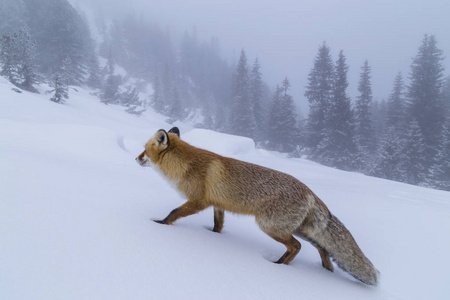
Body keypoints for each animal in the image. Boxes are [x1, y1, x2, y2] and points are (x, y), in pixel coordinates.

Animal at [136, 127, 380, 286]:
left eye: (145, 150)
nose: (136, 158)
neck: (186, 164)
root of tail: (310, 192)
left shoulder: (198, 201)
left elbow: (174, 212)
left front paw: (160, 224)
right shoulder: (217, 205)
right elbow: (217, 226)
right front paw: (214, 237)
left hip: (270, 227)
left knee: (297, 247)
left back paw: (278, 266)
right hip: (299, 230)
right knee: (322, 247)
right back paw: (325, 268)